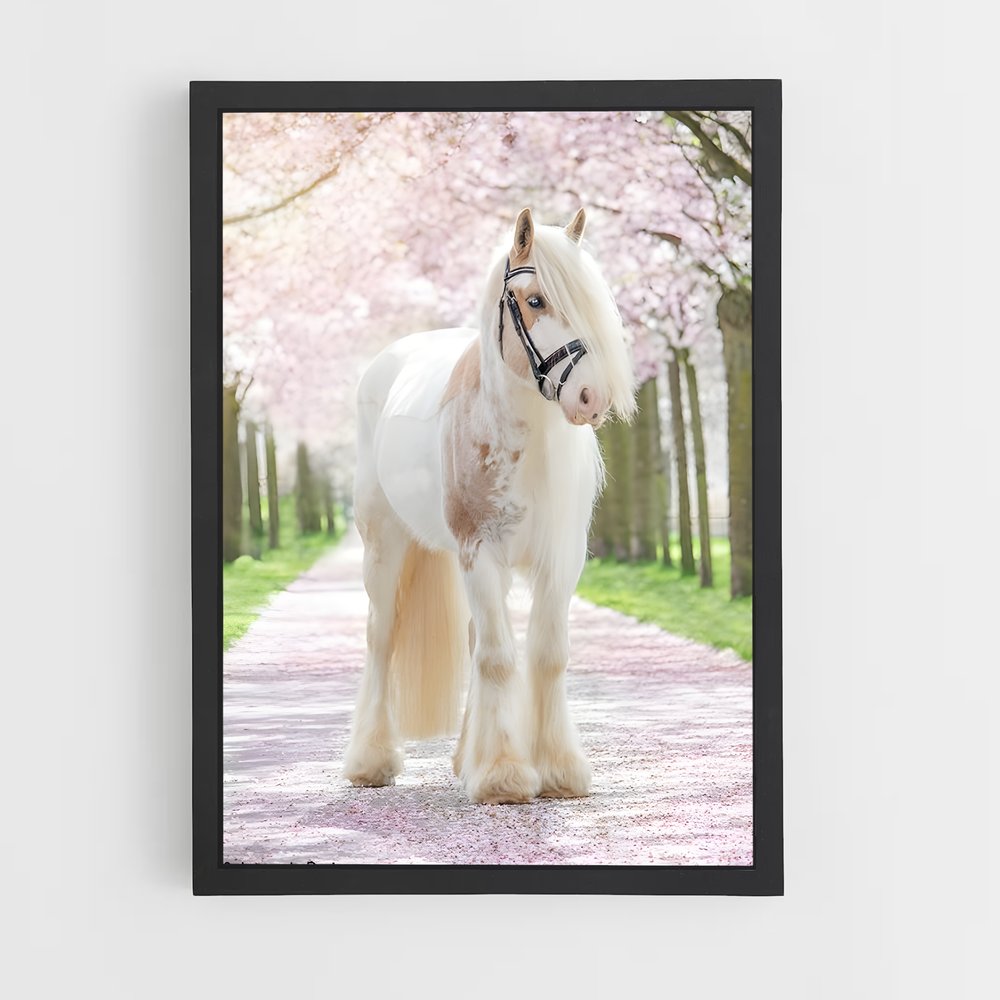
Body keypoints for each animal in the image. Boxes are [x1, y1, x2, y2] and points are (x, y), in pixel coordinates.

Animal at [342, 207, 636, 804]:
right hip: (383, 546)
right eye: (536, 300)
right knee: (382, 636)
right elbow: (500, 658)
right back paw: (371, 761)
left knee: (477, 638)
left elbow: (546, 655)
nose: (591, 398)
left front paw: (559, 770)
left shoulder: (559, 561)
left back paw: (463, 759)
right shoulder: (480, 551)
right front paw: (503, 775)